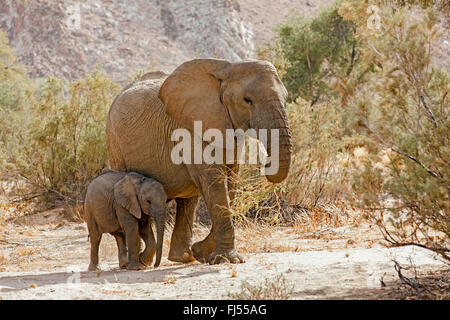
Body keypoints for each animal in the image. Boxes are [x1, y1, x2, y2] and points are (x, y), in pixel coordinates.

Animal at [105, 58, 292, 264]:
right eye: (247, 100)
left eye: (286, 99)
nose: (265, 164)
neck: (227, 68)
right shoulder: (191, 128)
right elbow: (215, 183)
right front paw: (226, 259)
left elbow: (231, 184)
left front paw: (203, 253)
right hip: (114, 144)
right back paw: (139, 263)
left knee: (188, 201)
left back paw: (183, 257)